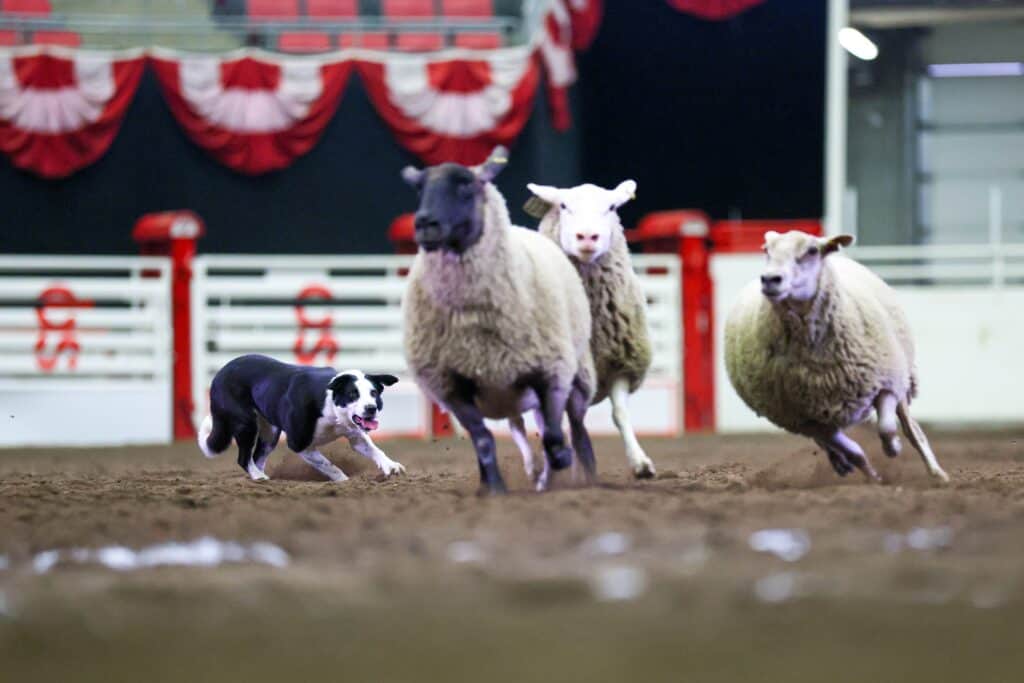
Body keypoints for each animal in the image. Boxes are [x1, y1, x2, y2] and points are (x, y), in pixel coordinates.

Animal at [198, 354, 406, 482]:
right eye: (353, 394)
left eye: (373, 393)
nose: (371, 408)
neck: (329, 405)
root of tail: (220, 373)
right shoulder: (299, 444)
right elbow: (329, 465)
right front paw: (344, 481)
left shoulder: (355, 435)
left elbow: (375, 450)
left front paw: (391, 467)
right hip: (245, 423)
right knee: (244, 458)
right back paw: (258, 477)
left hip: (270, 433)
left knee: (257, 457)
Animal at [400, 147, 596, 495]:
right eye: (419, 188)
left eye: (466, 184)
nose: (425, 224)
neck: (473, 318)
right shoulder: (450, 385)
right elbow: (483, 439)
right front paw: (493, 487)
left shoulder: (552, 369)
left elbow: (554, 436)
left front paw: (561, 459)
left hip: (577, 375)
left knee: (576, 428)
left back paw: (585, 476)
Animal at [518, 180, 656, 480]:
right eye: (563, 205)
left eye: (612, 207)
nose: (587, 237)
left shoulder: (620, 362)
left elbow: (619, 413)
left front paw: (640, 462)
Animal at [724, 229, 949, 483]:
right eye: (766, 250)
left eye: (812, 250)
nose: (771, 279)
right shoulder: (804, 419)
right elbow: (854, 451)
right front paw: (872, 477)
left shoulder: (885, 383)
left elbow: (887, 428)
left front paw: (893, 448)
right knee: (832, 444)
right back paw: (840, 462)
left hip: (900, 376)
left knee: (912, 429)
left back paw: (936, 472)